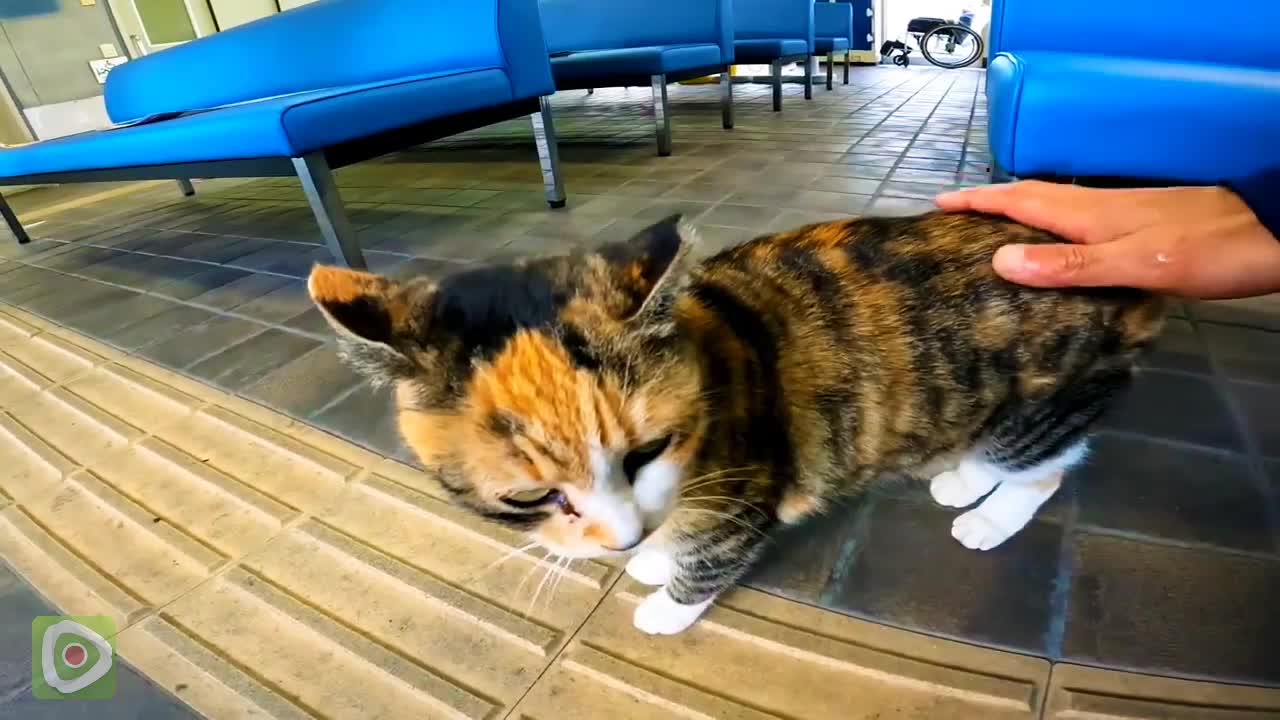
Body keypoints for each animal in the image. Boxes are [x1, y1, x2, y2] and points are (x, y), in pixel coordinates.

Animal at [304, 211, 1167, 632]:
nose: (622, 541)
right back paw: (964, 479)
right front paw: (648, 560)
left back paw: (986, 511)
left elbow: (712, 557)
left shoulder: (745, 486)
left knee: (1048, 462)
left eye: (648, 449)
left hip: (1044, 397)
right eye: (531, 499)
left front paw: (663, 603)